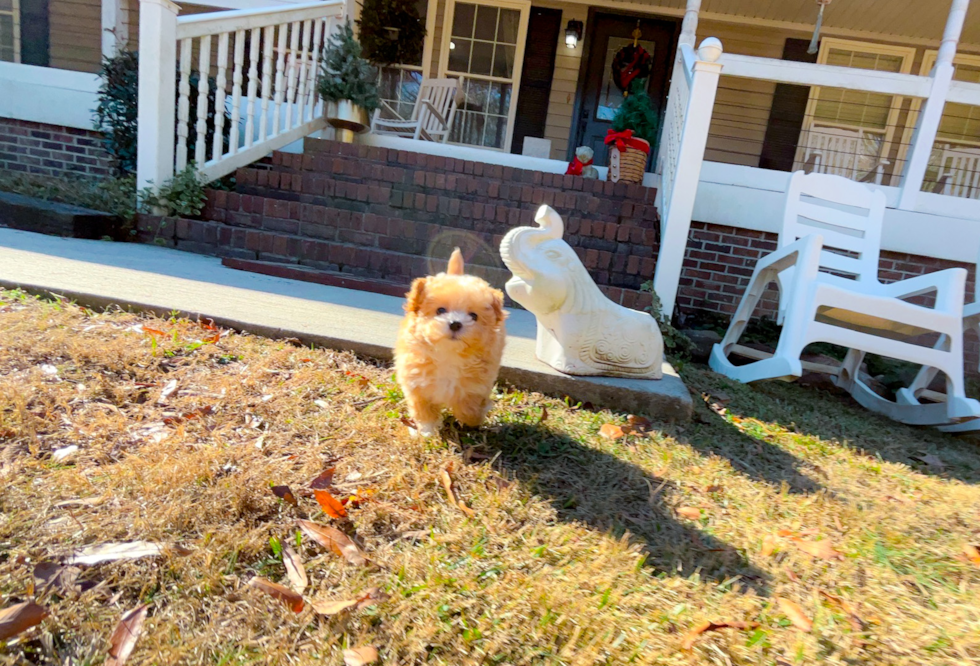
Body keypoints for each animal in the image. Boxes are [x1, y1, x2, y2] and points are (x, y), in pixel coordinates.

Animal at [396, 245, 510, 436]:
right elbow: (424, 411)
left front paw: (473, 420)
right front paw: (427, 432)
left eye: (473, 316)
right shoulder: (417, 385)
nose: (455, 323)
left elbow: (469, 408)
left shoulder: (476, 386)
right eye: (440, 310)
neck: (449, 354)